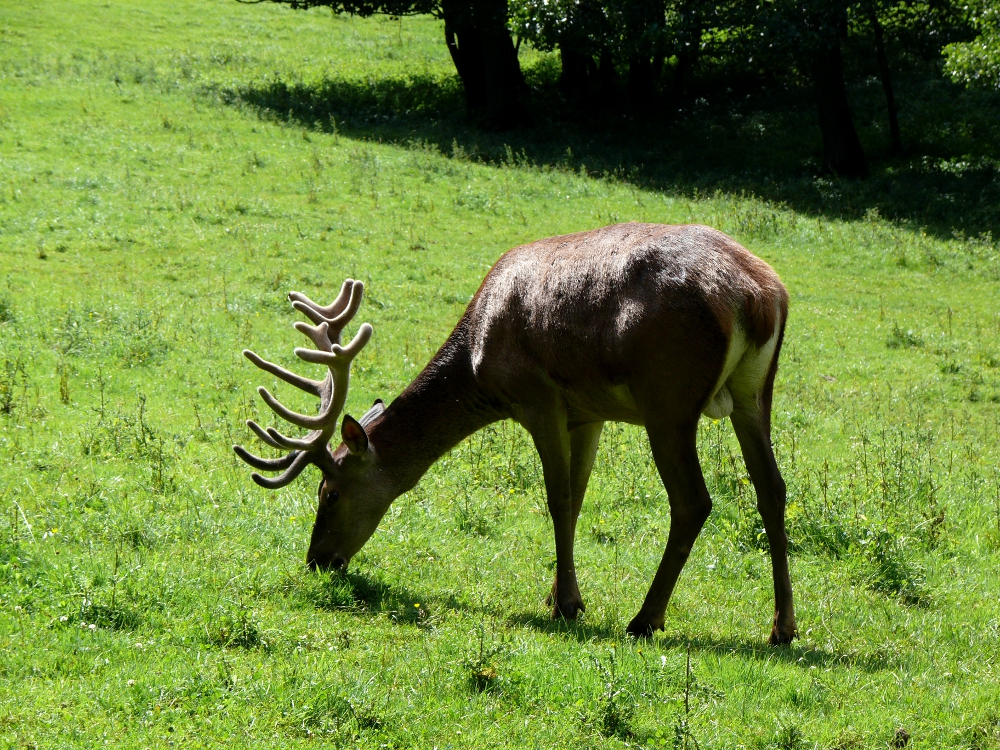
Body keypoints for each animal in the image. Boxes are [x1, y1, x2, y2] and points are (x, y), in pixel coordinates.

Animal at [234, 223, 796, 648]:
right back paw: (782, 627)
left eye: (328, 492)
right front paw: (556, 592)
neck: (478, 366)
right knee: (772, 488)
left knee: (693, 500)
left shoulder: (538, 397)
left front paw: (567, 604)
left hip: (669, 398)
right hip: (755, 390)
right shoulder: (587, 412)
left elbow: (558, 498)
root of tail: (758, 296)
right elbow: (579, 496)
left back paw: (645, 619)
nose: (317, 560)